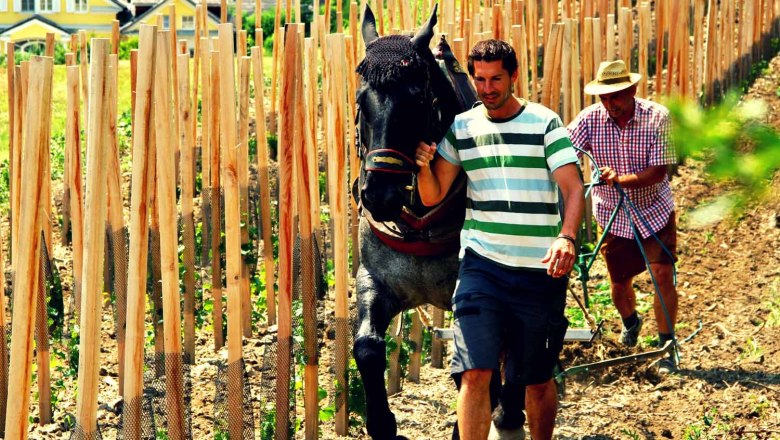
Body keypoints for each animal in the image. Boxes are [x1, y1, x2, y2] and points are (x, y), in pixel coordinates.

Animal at [353, 5, 525, 439]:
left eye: (417, 99)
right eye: (362, 99)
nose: (379, 194)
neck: (419, 220)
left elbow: (479, 373)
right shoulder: (374, 279)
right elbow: (367, 346)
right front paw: (383, 423)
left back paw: (509, 410)